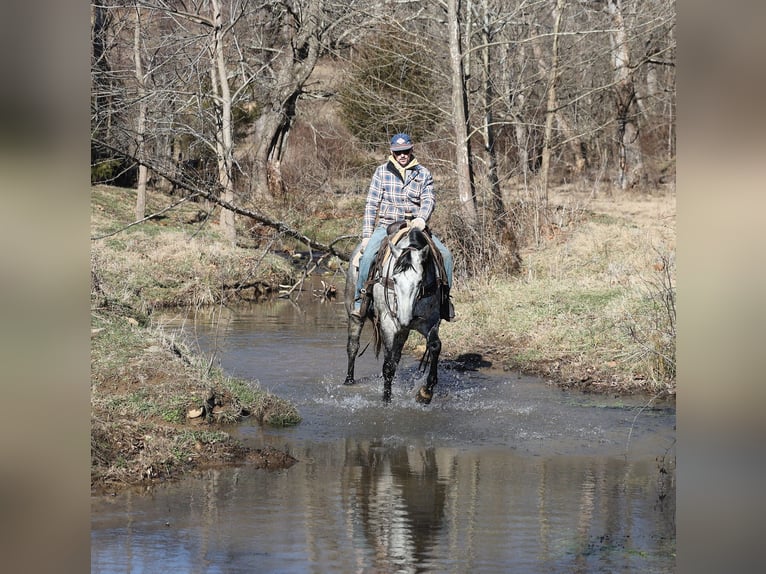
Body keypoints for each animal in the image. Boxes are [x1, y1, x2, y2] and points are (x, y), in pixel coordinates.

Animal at [344, 224, 444, 404]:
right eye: (395, 279)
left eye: (420, 281)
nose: (404, 319)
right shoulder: (388, 323)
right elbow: (388, 365)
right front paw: (386, 400)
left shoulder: (431, 321)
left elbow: (434, 346)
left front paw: (425, 392)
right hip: (355, 314)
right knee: (353, 346)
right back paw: (349, 380)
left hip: (403, 332)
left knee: (397, 356)